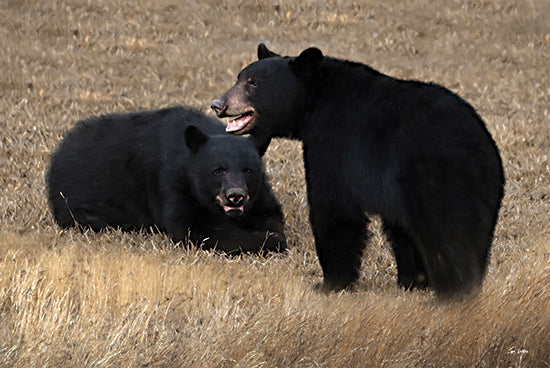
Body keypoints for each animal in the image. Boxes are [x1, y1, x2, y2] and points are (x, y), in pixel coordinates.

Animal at [46, 104, 288, 253]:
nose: (235, 196)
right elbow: (195, 228)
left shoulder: (259, 191)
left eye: (248, 170)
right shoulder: (173, 181)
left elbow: (270, 212)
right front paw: (268, 240)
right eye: (218, 170)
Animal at [213, 43, 506, 296]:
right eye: (240, 77)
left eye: (253, 83)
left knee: (447, 237)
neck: (311, 104)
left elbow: (335, 209)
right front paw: (412, 281)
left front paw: (331, 283)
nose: (218, 104)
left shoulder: (336, 145)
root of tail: (478, 146)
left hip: (437, 180)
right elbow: (401, 231)